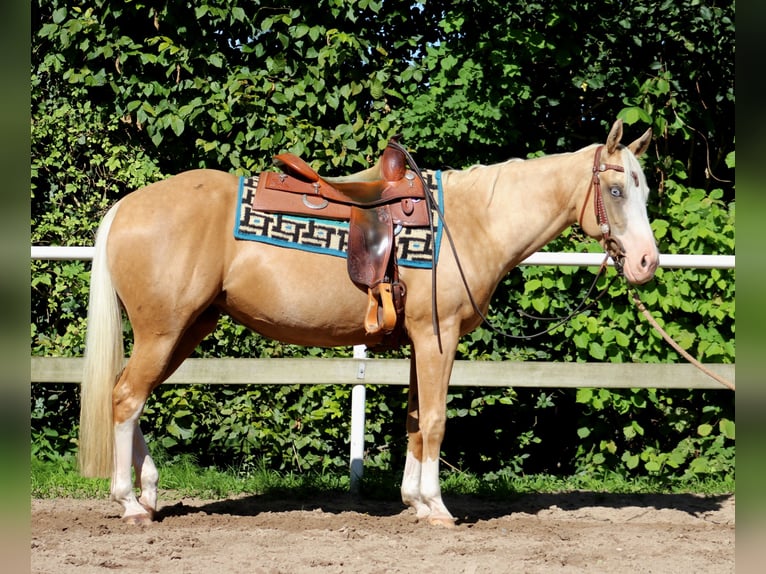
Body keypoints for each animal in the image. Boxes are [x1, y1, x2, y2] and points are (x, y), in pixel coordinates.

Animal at [78, 119, 660, 528]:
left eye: (645, 191)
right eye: (616, 191)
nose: (646, 263)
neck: (472, 222)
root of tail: (126, 206)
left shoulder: (420, 343)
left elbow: (414, 421)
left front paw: (414, 502)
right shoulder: (438, 338)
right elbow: (435, 421)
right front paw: (437, 507)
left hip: (186, 329)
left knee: (133, 396)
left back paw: (150, 492)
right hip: (164, 331)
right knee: (126, 398)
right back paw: (130, 503)